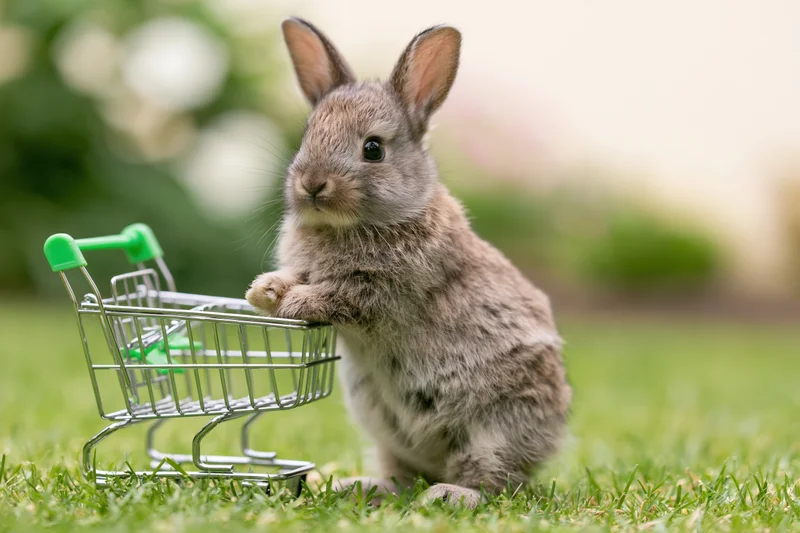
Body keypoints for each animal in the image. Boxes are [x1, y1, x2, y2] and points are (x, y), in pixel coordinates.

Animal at [245, 17, 572, 508]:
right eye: (306, 137)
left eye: (373, 149)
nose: (312, 184)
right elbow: (293, 277)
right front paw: (263, 291)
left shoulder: (379, 290)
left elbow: (337, 296)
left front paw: (292, 303)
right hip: (384, 429)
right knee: (401, 474)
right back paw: (359, 487)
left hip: (497, 428)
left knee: (494, 481)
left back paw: (449, 495)